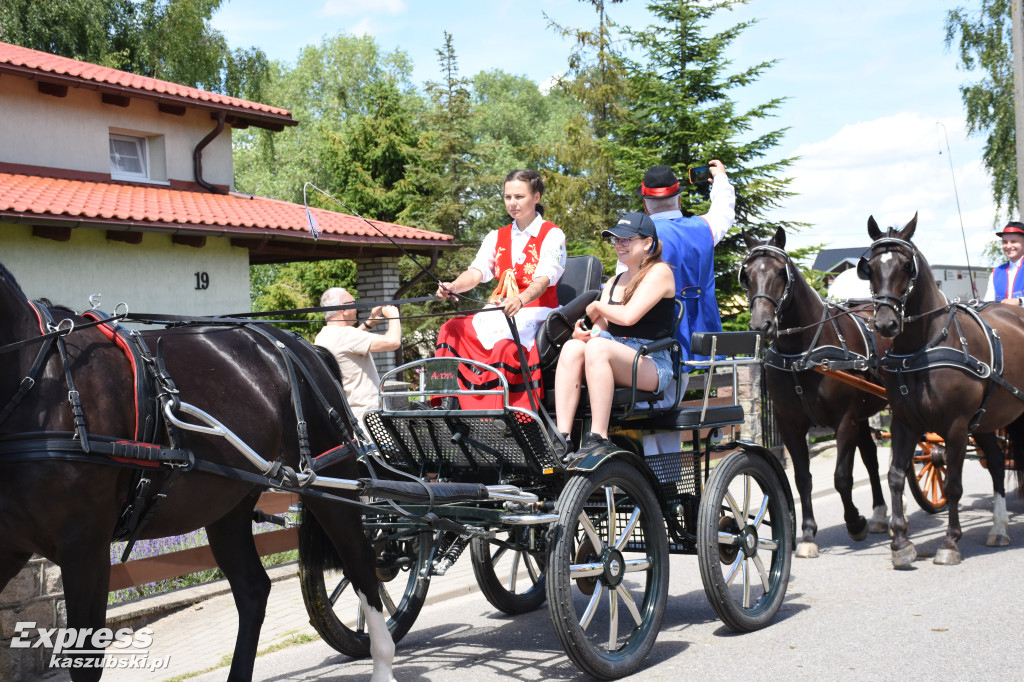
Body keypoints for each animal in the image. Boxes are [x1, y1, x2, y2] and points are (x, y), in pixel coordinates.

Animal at [0, 259, 395, 675]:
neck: (40, 381)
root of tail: (300, 345)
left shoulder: (85, 548)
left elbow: (84, 656)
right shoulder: (10, 548)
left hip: (330, 483)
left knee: (361, 567)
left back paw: (382, 663)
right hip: (227, 504)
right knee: (254, 589)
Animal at [741, 228, 892, 557]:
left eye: (780, 273)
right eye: (746, 275)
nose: (761, 325)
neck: (802, 354)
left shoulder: (844, 420)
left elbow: (842, 477)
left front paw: (855, 523)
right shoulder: (789, 425)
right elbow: (802, 479)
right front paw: (809, 534)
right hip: (863, 415)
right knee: (871, 458)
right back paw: (878, 514)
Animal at [856, 215, 1024, 565]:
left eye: (908, 266)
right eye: (870, 267)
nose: (885, 324)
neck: (923, 348)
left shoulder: (957, 426)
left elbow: (953, 485)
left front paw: (949, 542)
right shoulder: (904, 423)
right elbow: (896, 476)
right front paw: (900, 542)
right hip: (987, 420)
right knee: (997, 463)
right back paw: (999, 528)